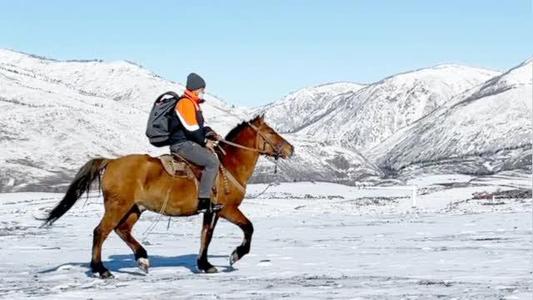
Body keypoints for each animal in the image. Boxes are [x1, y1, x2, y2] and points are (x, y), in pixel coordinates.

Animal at [43, 115, 294, 278]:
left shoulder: (210, 212)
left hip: (134, 208)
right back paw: (101, 270)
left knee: (122, 230)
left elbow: (206, 237)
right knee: (100, 232)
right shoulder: (227, 209)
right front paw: (234, 255)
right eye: (271, 132)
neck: (229, 165)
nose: (291, 149)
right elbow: (249, 228)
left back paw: (142, 259)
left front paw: (204, 265)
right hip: (117, 206)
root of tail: (111, 161)